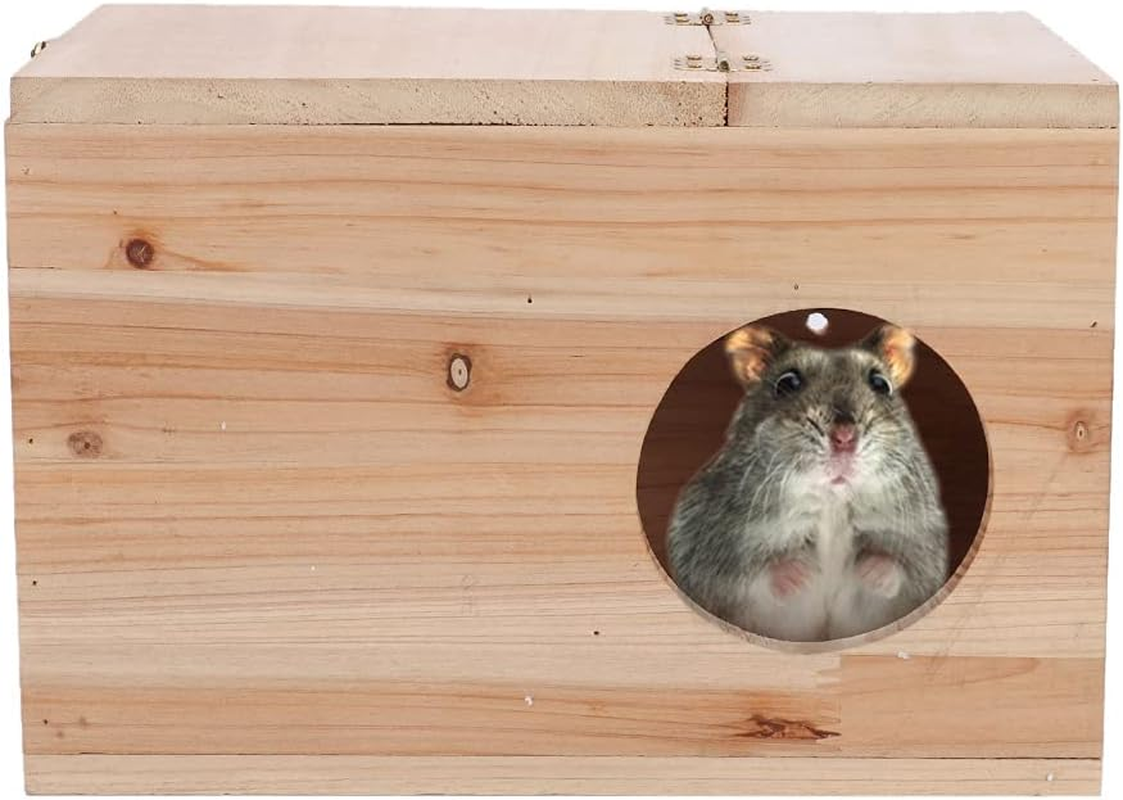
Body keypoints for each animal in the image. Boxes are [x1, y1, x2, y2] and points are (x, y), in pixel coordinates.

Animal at [667, 324, 948, 642]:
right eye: (787, 383)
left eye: (880, 384)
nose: (844, 437)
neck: (832, 499)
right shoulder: (713, 556)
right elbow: (756, 576)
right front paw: (801, 575)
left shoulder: (922, 548)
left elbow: (899, 569)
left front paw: (871, 571)